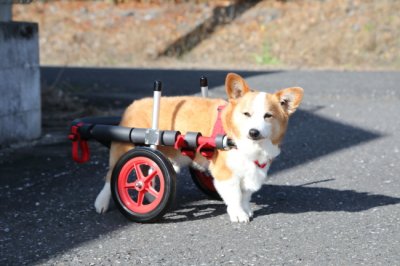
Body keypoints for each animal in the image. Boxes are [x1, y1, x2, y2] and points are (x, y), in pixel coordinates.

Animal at [95, 72, 304, 222]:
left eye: (268, 116)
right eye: (246, 114)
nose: (253, 132)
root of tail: (133, 104)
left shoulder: (251, 172)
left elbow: (245, 195)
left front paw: (247, 209)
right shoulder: (225, 173)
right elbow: (235, 195)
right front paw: (238, 214)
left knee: (149, 170)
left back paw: (150, 197)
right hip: (124, 150)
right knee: (110, 176)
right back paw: (102, 202)